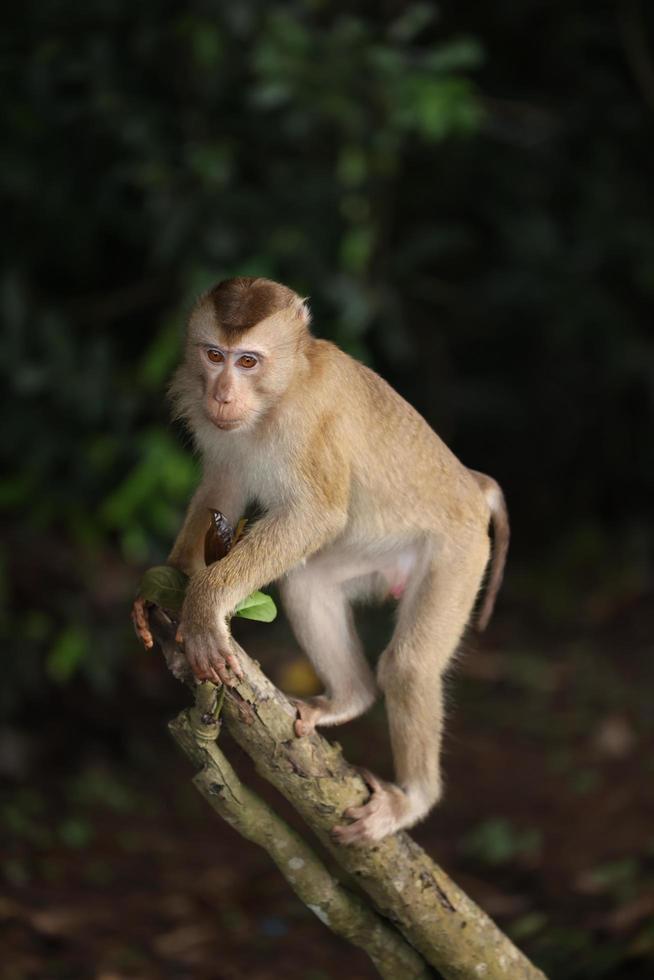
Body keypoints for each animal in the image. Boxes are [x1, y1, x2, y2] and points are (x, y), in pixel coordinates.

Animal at [133, 274, 512, 844]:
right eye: (214, 354)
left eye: (248, 361)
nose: (222, 393)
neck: (280, 392)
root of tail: (472, 485)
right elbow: (223, 487)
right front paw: (169, 583)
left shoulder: (310, 424)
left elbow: (316, 515)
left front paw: (204, 602)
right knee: (308, 583)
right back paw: (348, 698)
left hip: (460, 552)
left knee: (408, 665)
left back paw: (414, 798)